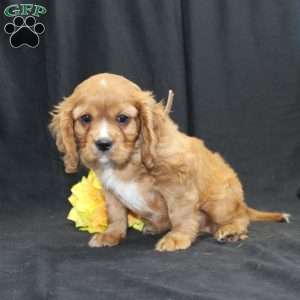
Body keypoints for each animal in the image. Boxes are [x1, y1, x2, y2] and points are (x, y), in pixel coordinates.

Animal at [49, 72, 290, 251]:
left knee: (241, 217)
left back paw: (231, 231)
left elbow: (179, 214)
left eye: (123, 119)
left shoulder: (178, 185)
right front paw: (111, 235)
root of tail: (242, 202)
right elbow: (116, 214)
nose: (103, 143)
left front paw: (178, 238)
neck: (131, 160)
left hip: (219, 202)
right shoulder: (110, 190)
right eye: (85, 119)